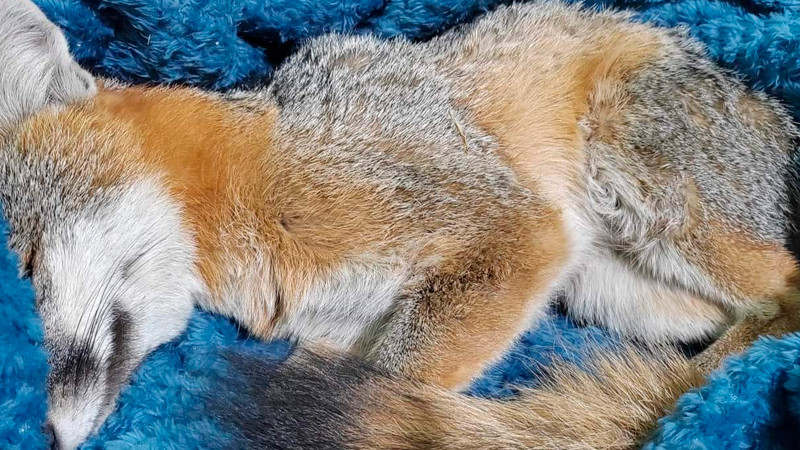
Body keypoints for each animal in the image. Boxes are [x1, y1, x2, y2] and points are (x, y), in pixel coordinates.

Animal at [1, 0, 800, 448]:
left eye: (28, 266)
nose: (44, 432)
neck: (251, 172)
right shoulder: (335, 337)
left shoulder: (512, 230)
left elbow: (393, 388)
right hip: (620, 292)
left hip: (644, 190)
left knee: (786, 297)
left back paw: (689, 388)